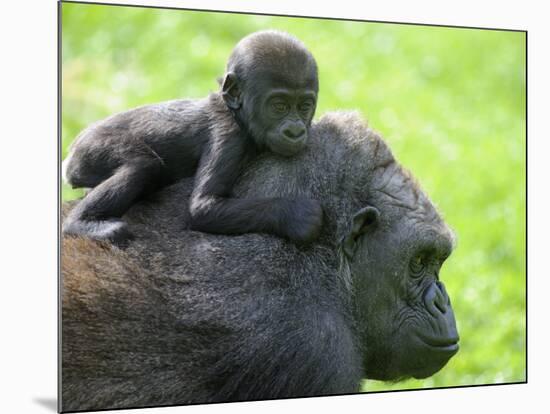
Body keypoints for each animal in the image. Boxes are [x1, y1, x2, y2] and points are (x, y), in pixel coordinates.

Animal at [62, 31, 324, 246]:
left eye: (304, 106)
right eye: (279, 106)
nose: (295, 131)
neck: (234, 112)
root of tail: (71, 154)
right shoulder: (228, 137)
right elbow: (204, 208)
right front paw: (297, 214)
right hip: (91, 146)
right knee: (141, 165)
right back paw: (82, 224)